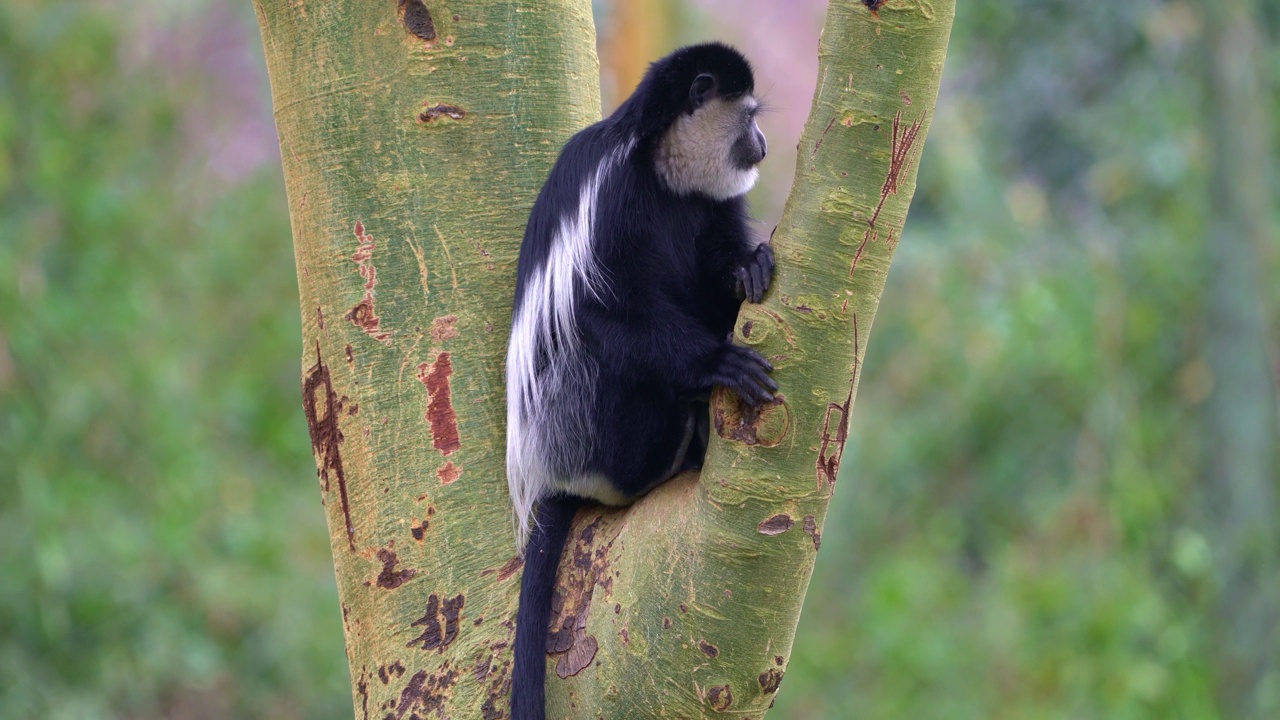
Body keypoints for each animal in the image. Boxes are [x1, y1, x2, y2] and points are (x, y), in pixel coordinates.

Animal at [504, 43, 773, 717]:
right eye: (749, 116)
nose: (763, 144)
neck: (661, 172)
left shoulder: (714, 204)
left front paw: (750, 268)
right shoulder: (613, 196)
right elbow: (599, 311)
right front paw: (716, 363)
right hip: (587, 434)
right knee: (604, 359)